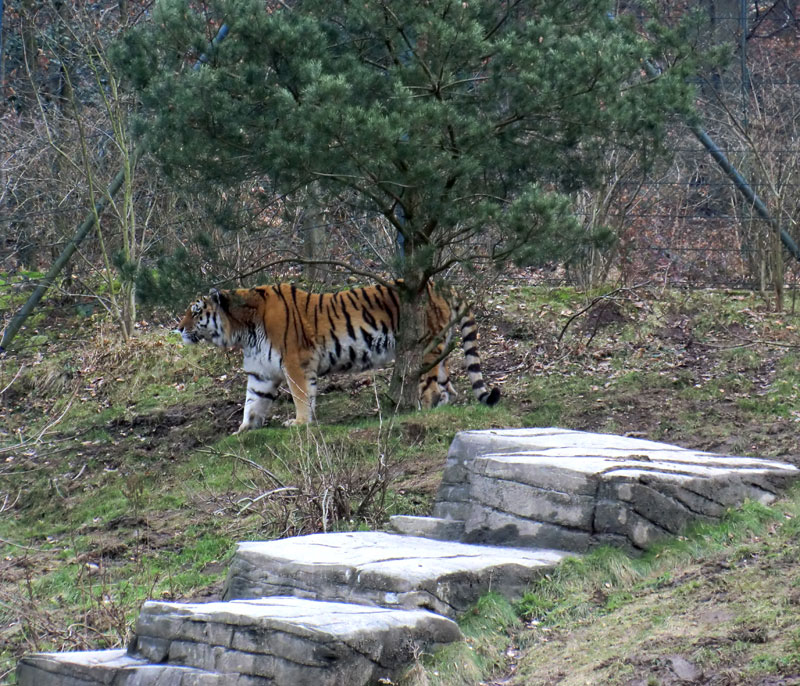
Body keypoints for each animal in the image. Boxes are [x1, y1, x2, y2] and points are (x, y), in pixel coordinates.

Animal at [177, 280, 496, 432]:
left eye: (195, 311)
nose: (178, 328)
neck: (244, 330)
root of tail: (442, 285)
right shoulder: (261, 371)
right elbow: (252, 402)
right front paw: (243, 430)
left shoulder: (295, 361)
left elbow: (301, 395)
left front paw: (300, 424)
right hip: (441, 350)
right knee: (448, 387)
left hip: (426, 346)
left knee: (431, 386)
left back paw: (422, 411)